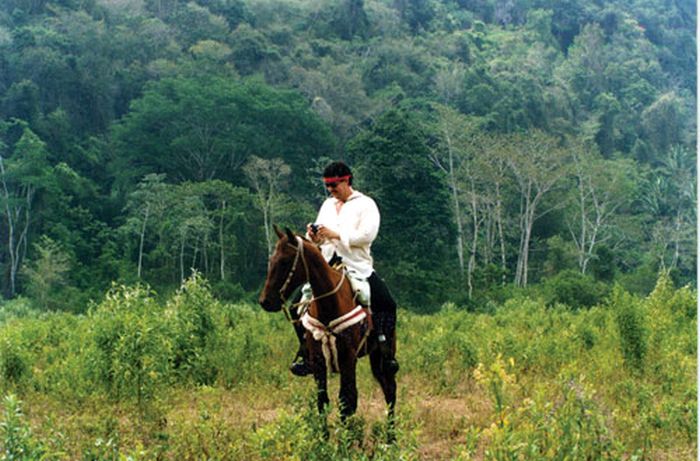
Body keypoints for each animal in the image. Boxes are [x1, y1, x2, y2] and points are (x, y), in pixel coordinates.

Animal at [260, 225, 396, 430]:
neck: (329, 305)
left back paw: (391, 436)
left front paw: (346, 439)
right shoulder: (318, 360)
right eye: (271, 260)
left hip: (383, 356)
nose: (265, 301)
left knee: (390, 392)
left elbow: (347, 402)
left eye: (284, 261)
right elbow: (322, 402)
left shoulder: (348, 358)